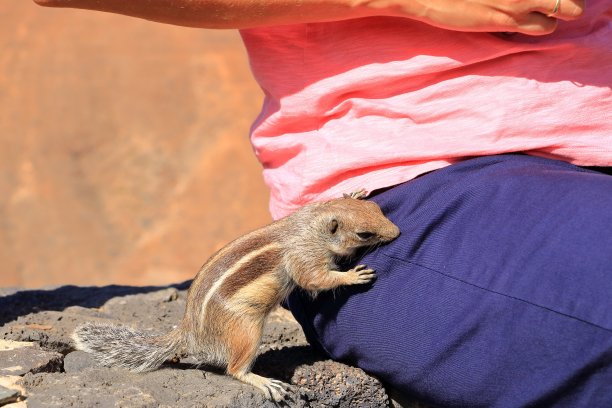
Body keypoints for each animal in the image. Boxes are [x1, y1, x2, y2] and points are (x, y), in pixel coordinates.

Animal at [71, 191, 400, 402]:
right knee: (234, 369)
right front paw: (353, 276)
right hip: (246, 330)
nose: (396, 232)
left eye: (376, 208)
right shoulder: (304, 257)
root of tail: (189, 333)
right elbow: (315, 280)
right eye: (364, 235)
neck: (311, 225)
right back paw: (265, 382)